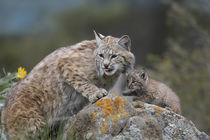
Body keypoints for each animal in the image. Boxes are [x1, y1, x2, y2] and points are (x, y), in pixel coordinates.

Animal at [1, 31, 135, 139]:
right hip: (33, 125)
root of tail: (4, 110)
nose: (106, 65)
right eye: (101, 56)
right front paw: (96, 93)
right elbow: (84, 82)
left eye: (114, 56)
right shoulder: (65, 65)